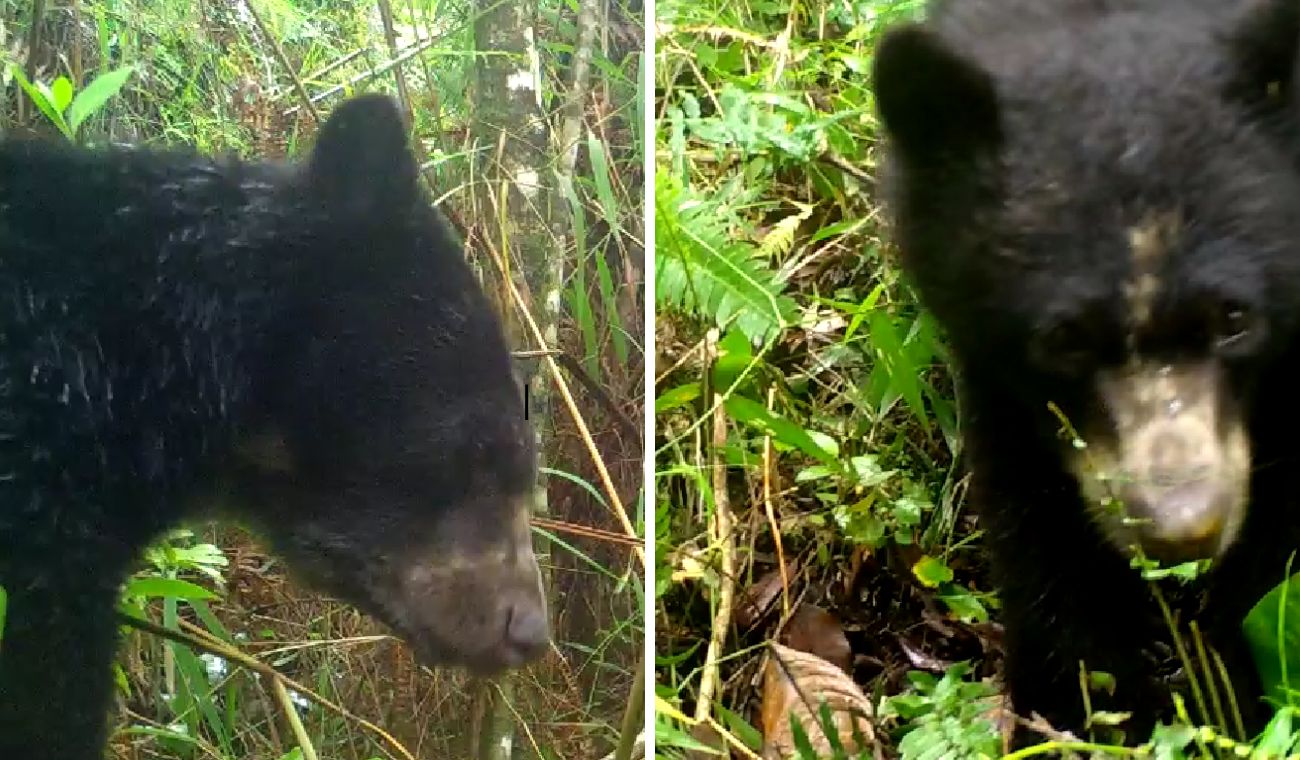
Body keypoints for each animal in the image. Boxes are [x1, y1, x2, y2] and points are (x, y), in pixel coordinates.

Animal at [872, 0, 1300, 747]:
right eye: (1063, 338)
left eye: (1235, 318)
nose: (1181, 528)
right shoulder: (998, 369)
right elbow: (1034, 513)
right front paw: (1076, 712)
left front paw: (1230, 688)